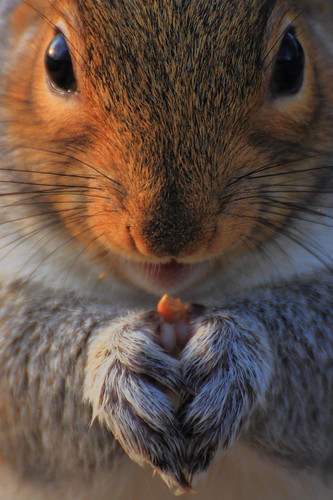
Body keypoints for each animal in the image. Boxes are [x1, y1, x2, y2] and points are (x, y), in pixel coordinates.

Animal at [0, 0, 330, 498]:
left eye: (292, 61)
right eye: (55, 61)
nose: (170, 237)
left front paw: (231, 348)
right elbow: (20, 359)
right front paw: (117, 363)